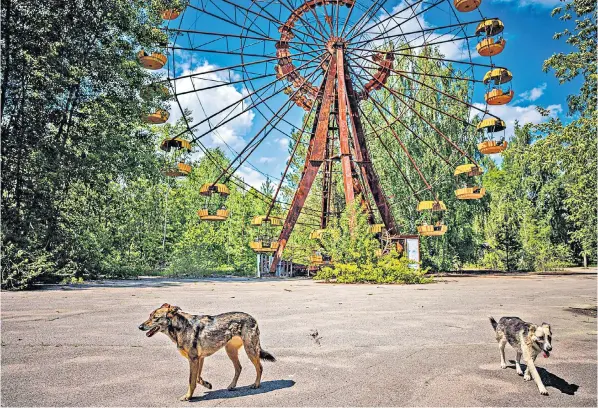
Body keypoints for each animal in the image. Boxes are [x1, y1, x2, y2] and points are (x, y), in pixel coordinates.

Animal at [140, 302, 276, 402]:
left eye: (155, 318)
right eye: (149, 315)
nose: (140, 327)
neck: (180, 327)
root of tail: (252, 317)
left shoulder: (194, 359)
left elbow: (191, 380)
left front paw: (188, 396)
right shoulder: (199, 359)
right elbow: (197, 378)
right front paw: (207, 384)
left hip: (250, 350)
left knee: (259, 367)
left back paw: (256, 384)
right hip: (230, 351)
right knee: (239, 368)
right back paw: (232, 385)